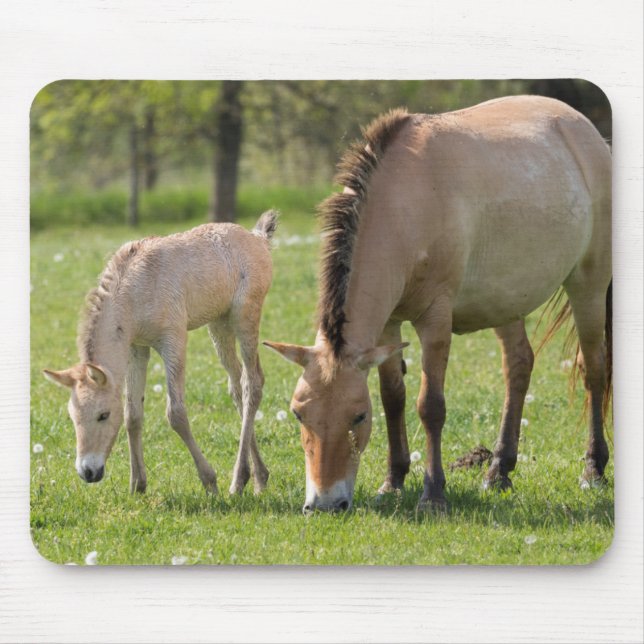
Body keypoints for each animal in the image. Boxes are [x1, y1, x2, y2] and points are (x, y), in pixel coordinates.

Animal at [44, 210, 278, 496]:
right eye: (72, 417)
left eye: (103, 415)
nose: (88, 472)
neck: (135, 290)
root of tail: (258, 239)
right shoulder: (137, 348)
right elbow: (132, 414)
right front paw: (137, 484)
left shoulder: (173, 340)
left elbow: (175, 414)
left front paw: (209, 481)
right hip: (219, 324)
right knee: (237, 387)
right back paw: (258, 478)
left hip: (245, 317)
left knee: (253, 383)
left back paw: (237, 480)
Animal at [265, 95, 612, 513]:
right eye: (299, 414)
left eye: (358, 417)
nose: (325, 504)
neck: (405, 202)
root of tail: (585, 130)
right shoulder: (388, 326)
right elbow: (393, 398)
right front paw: (393, 481)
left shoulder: (434, 320)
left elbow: (429, 406)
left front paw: (433, 494)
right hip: (505, 300)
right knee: (518, 367)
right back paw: (499, 471)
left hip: (588, 285)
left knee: (593, 369)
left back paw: (593, 470)